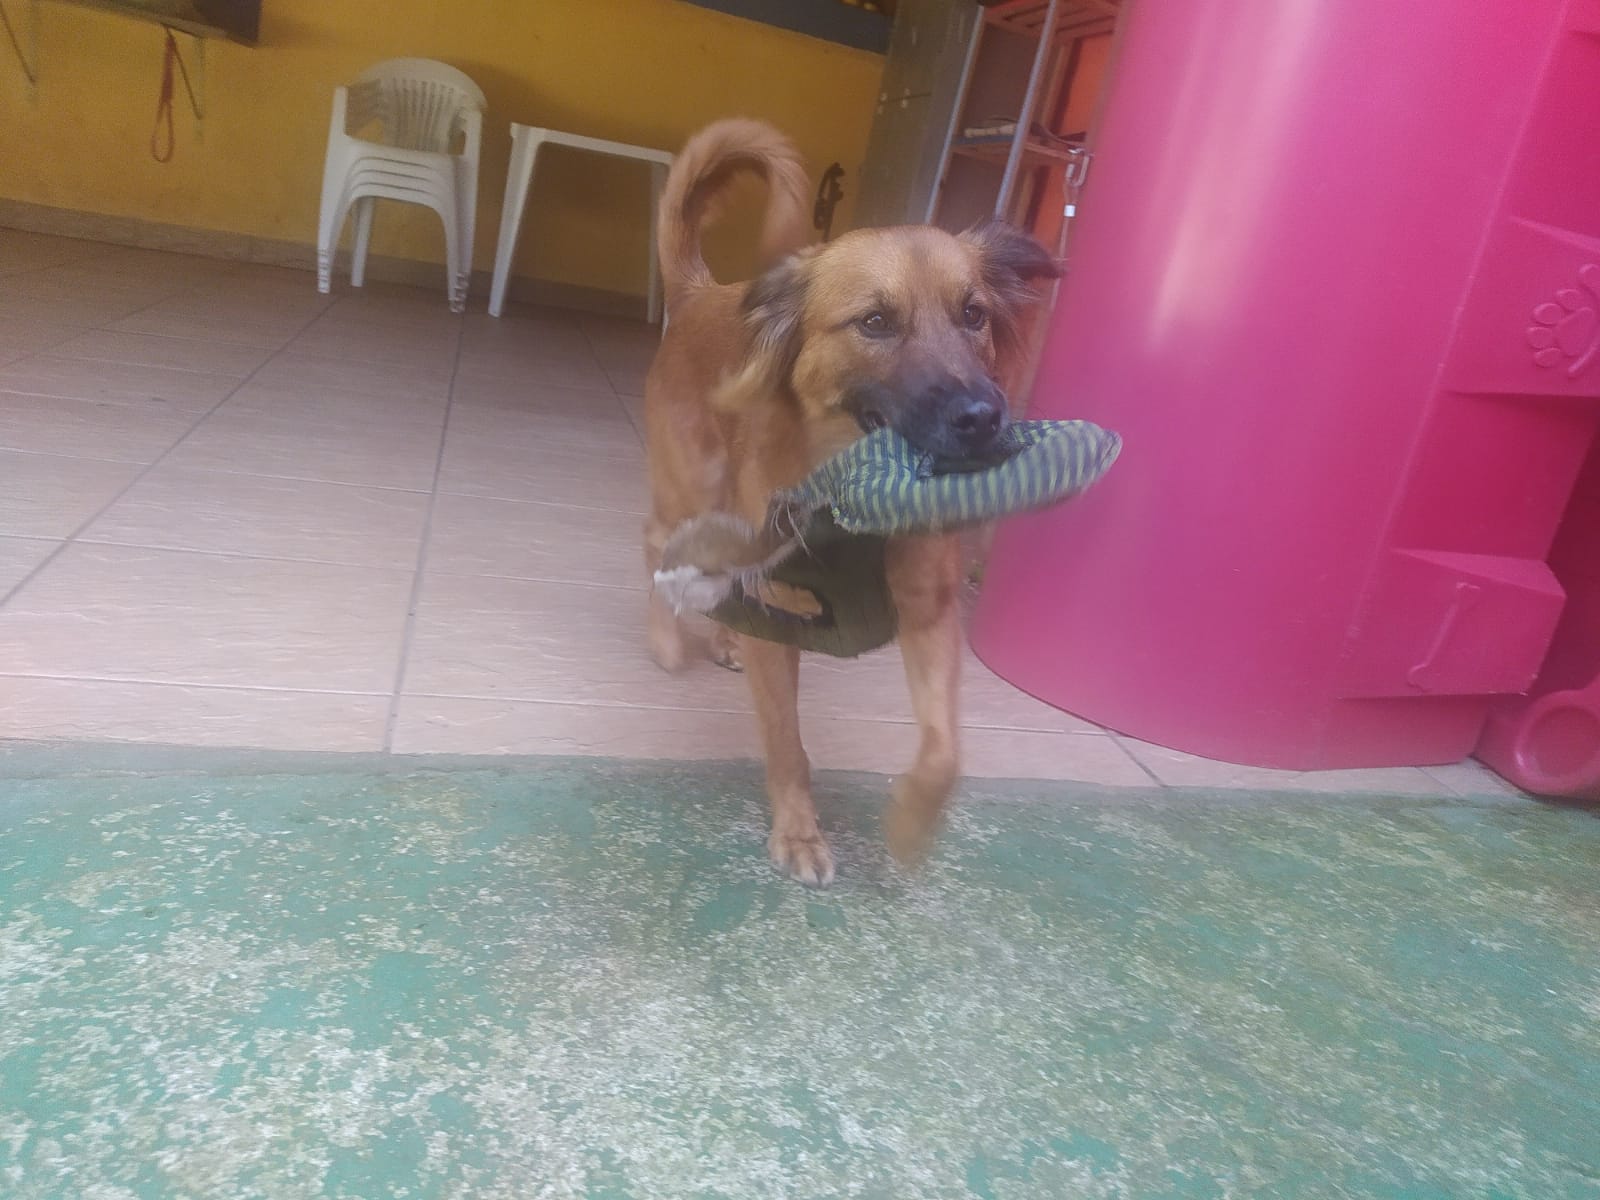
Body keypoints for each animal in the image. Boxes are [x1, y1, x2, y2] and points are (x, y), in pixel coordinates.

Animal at [643, 119, 1059, 886]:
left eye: (974, 315)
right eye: (875, 322)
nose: (985, 417)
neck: (856, 501)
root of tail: (699, 293)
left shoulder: (930, 614)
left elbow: (945, 751)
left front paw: (912, 822)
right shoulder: (780, 619)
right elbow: (785, 740)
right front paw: (800, 832)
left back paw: (721, 639)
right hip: (692, 486)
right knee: (656, 542)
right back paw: (666, 638)